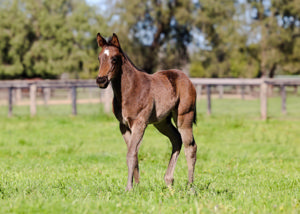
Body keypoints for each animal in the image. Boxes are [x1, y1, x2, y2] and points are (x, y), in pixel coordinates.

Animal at [96, 32, 197, 191]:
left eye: (114, 59)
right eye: (99, 58)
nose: (101, 80)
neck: (130, 89)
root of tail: (186, 78)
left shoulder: (139, 123)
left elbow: (131, 153)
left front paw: (129, 188)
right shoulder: (124, 126)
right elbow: (134, 154)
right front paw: (137, 185)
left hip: (184, 117)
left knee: (190, 147)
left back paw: (190, 187)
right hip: (162, 123)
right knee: (176, 140)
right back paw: (169, 181)